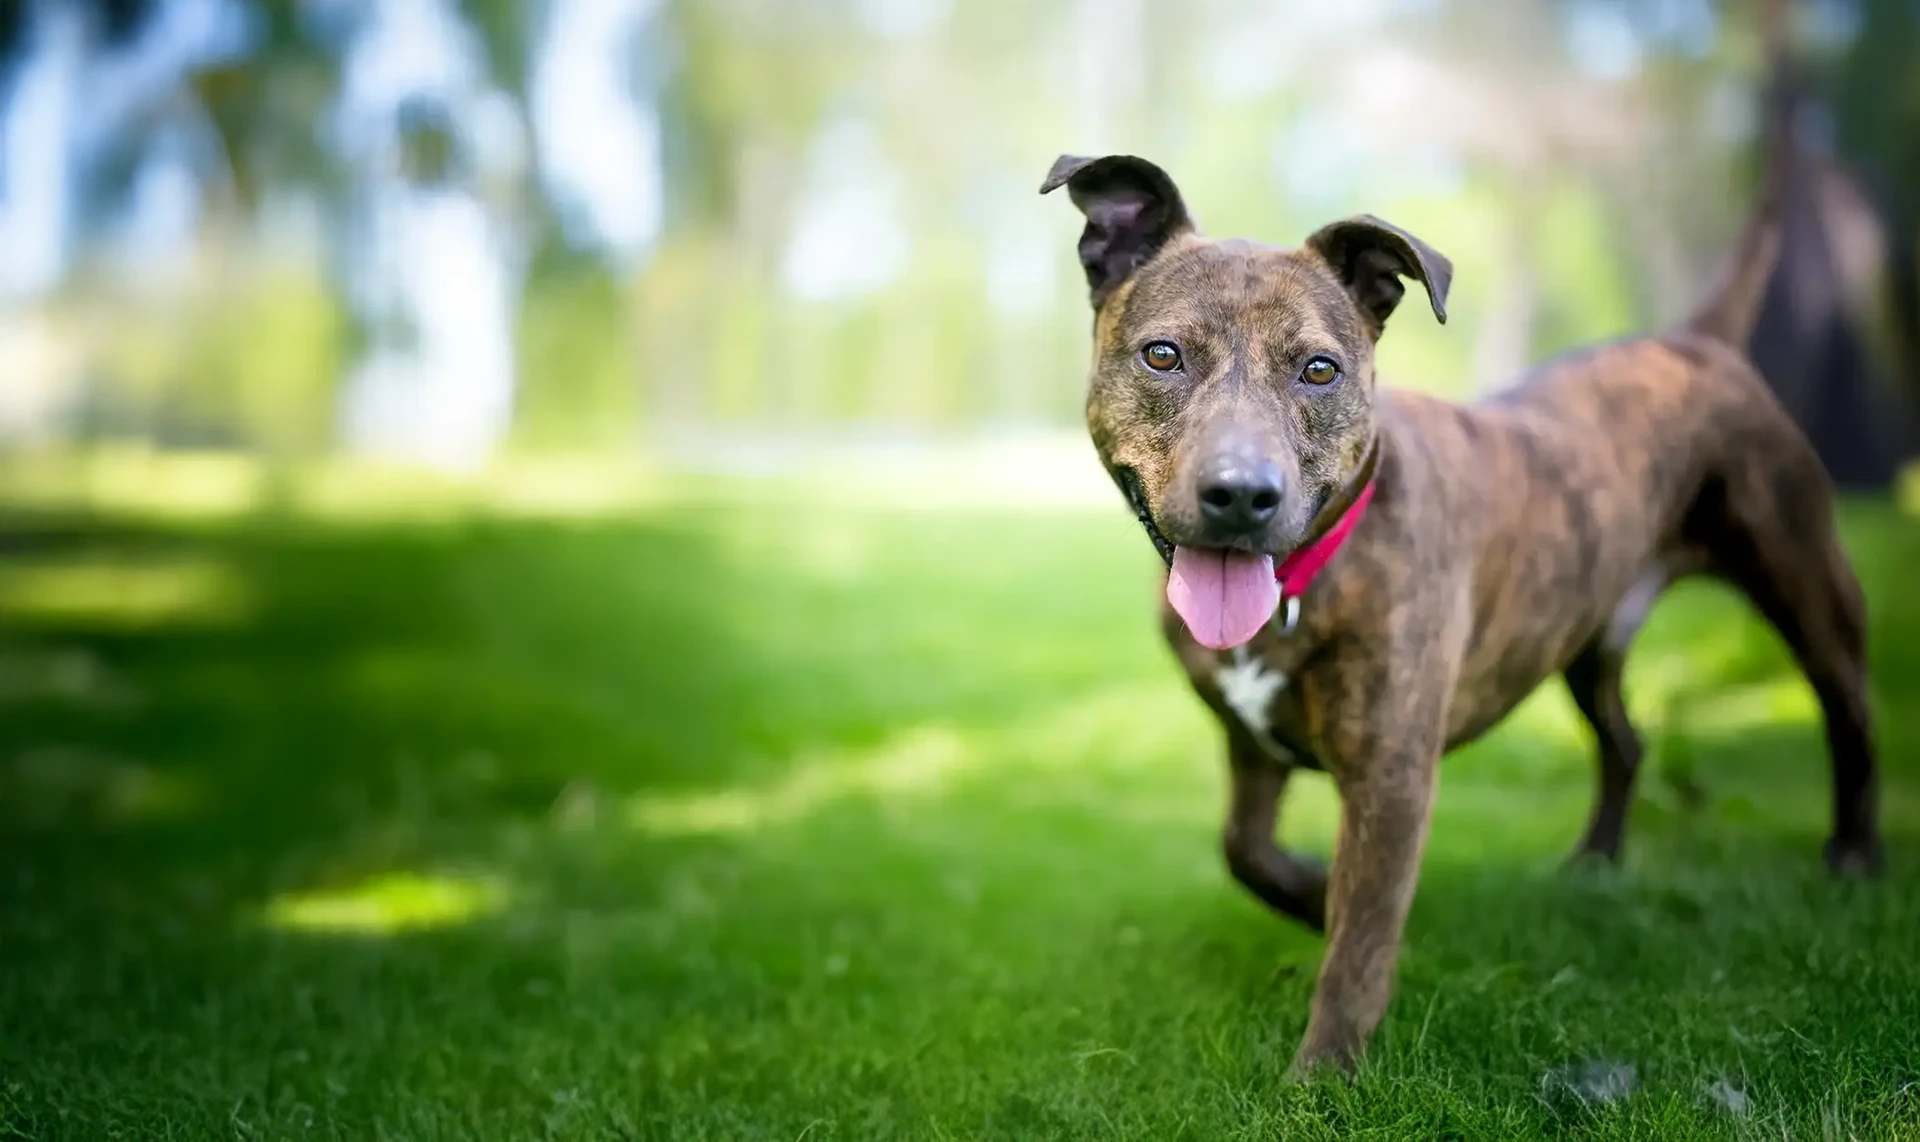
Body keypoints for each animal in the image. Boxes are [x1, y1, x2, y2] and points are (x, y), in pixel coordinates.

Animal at [1044, 154, 1881, 1082]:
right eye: (1163, 356)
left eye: (1320, 370)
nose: (1241, 494)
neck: (1306, 583)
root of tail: (1693, 343)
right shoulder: (1249, 745)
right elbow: (1247, 852)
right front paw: (1313, 893)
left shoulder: (1392, 778)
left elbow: (1358, 947)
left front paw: (1322, 1076)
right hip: (1584, 635)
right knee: (1625, 742)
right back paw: (1593, 866)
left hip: (1805, 581)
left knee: (1850, 710)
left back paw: (1854, 857)